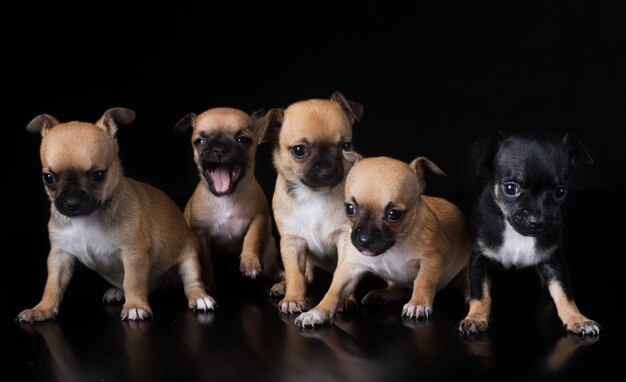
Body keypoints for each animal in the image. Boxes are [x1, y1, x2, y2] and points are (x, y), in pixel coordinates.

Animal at [15, 107, 214, 322]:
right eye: (48, 178)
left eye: (98, 175)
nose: (72, 203)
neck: (88, 218)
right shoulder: (59, 256)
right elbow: (53, 285)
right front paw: (42, 308)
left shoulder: (133, 254)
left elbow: (133, 281)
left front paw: (135, 306)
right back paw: (118, 292)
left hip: (189, 258)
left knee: (191, 281)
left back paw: (200, 297)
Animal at [176, 106, 282, 286]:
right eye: (200, 141)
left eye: (242, 139)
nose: (219, 149)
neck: (226, 198)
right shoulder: (201, 233)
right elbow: (205, 258)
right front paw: (207, 280)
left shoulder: (259, 217)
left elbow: (252, 238)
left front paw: (250, 263)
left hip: (269, 244)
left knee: (269, 263)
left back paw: (278, 275)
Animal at [260, 92, 366, 314]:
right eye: (300, 150)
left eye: (345, 146)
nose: (327, 169)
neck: (314, 195)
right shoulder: (292, 242)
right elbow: (295, 273)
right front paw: (293, 297)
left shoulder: (346, 240)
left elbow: (342, 276)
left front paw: (345, 299)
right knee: (305, 275)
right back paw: (283, 286)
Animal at [292, 157, 468, 326]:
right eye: (349, 209)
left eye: (394, 215)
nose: (364, 239)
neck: (394, 247)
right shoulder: (349, 269)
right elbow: (334, 291)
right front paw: (317, 312)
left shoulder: (431, 260)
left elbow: (424, 282)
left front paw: (418, 303)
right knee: (400, 287)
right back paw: (381, 295)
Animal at [456, 133, 596, 336]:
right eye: (510, 189)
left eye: (560, 192)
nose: (536, 220)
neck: (518, 234)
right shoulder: (479, 259)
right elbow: (480, 294)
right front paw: (475, 317)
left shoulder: (555, 261)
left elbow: (565, 293)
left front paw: (577, 319)